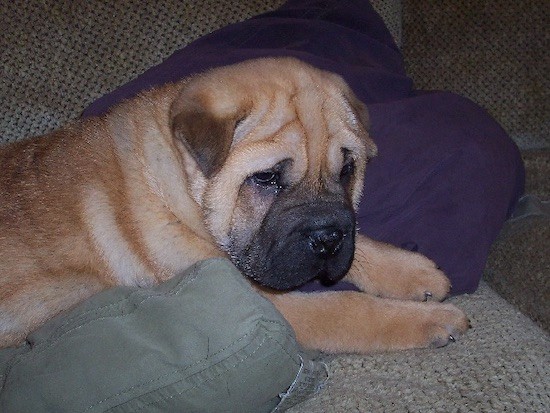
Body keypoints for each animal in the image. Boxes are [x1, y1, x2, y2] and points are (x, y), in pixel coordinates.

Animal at [0, 58, 470, 350]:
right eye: (266, 178)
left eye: (346, 170)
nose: (327, 240)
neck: (179, 192)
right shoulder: (273, 305)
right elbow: (348, 308)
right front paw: (433, 321)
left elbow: (358, 238)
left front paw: (412, 271)